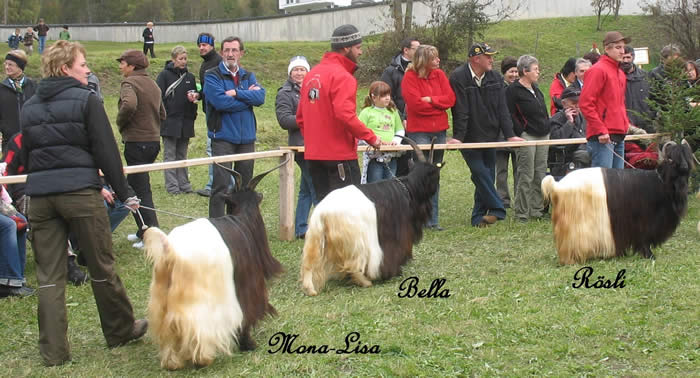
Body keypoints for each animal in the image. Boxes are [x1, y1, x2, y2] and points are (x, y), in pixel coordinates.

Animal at [142, 161, 284, 368]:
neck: (242, 220)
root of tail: (170, 251)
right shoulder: (247, 286)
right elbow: (246, 315)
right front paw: (248, 344)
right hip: (198, 303)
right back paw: (203, 358)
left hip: (160, 301)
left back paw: (172, 362)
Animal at [300, 136, 442, 296]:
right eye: (436, 175)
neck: (408, 187)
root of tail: (323, 213)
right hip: (355, 240)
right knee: (353, 264)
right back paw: (365, 282)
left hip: (316, 239)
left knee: (309, 263)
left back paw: (310, 289)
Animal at [544, 140, 696, 266]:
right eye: (671, 158)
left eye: (686, 155)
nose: (684, 167)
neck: (660, 182)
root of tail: (557, 185)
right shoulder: (643, 222)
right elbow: (644, 239)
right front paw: (649, 255)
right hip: (575, 224)